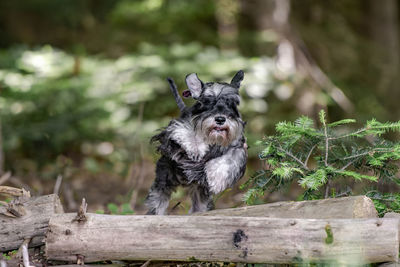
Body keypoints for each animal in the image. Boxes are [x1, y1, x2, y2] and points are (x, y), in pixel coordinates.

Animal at [145, 71, 247, 216]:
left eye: (232, 103)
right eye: (207, 101)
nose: (220, 119)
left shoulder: (237, 146)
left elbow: (230, 159)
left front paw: (217, 178)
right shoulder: (171, 132)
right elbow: (187, 132)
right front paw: (196, 148)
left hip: (199, 192)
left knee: (199, 206)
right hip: (164, 181)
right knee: (157, 201)